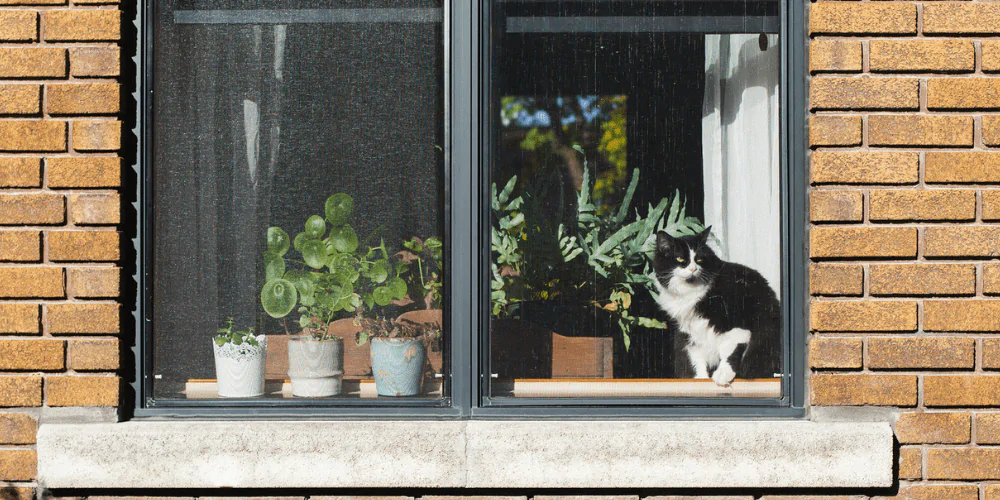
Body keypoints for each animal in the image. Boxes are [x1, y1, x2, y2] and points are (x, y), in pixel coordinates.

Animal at [652, 227, 784, 386]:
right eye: (680, 259)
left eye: (699, 260)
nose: (693, 269)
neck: (692, 295)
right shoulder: (688, 333)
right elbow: (696, 359)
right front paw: (700, 379)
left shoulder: (738, 325)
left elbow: (731, 349)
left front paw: (722, 375)